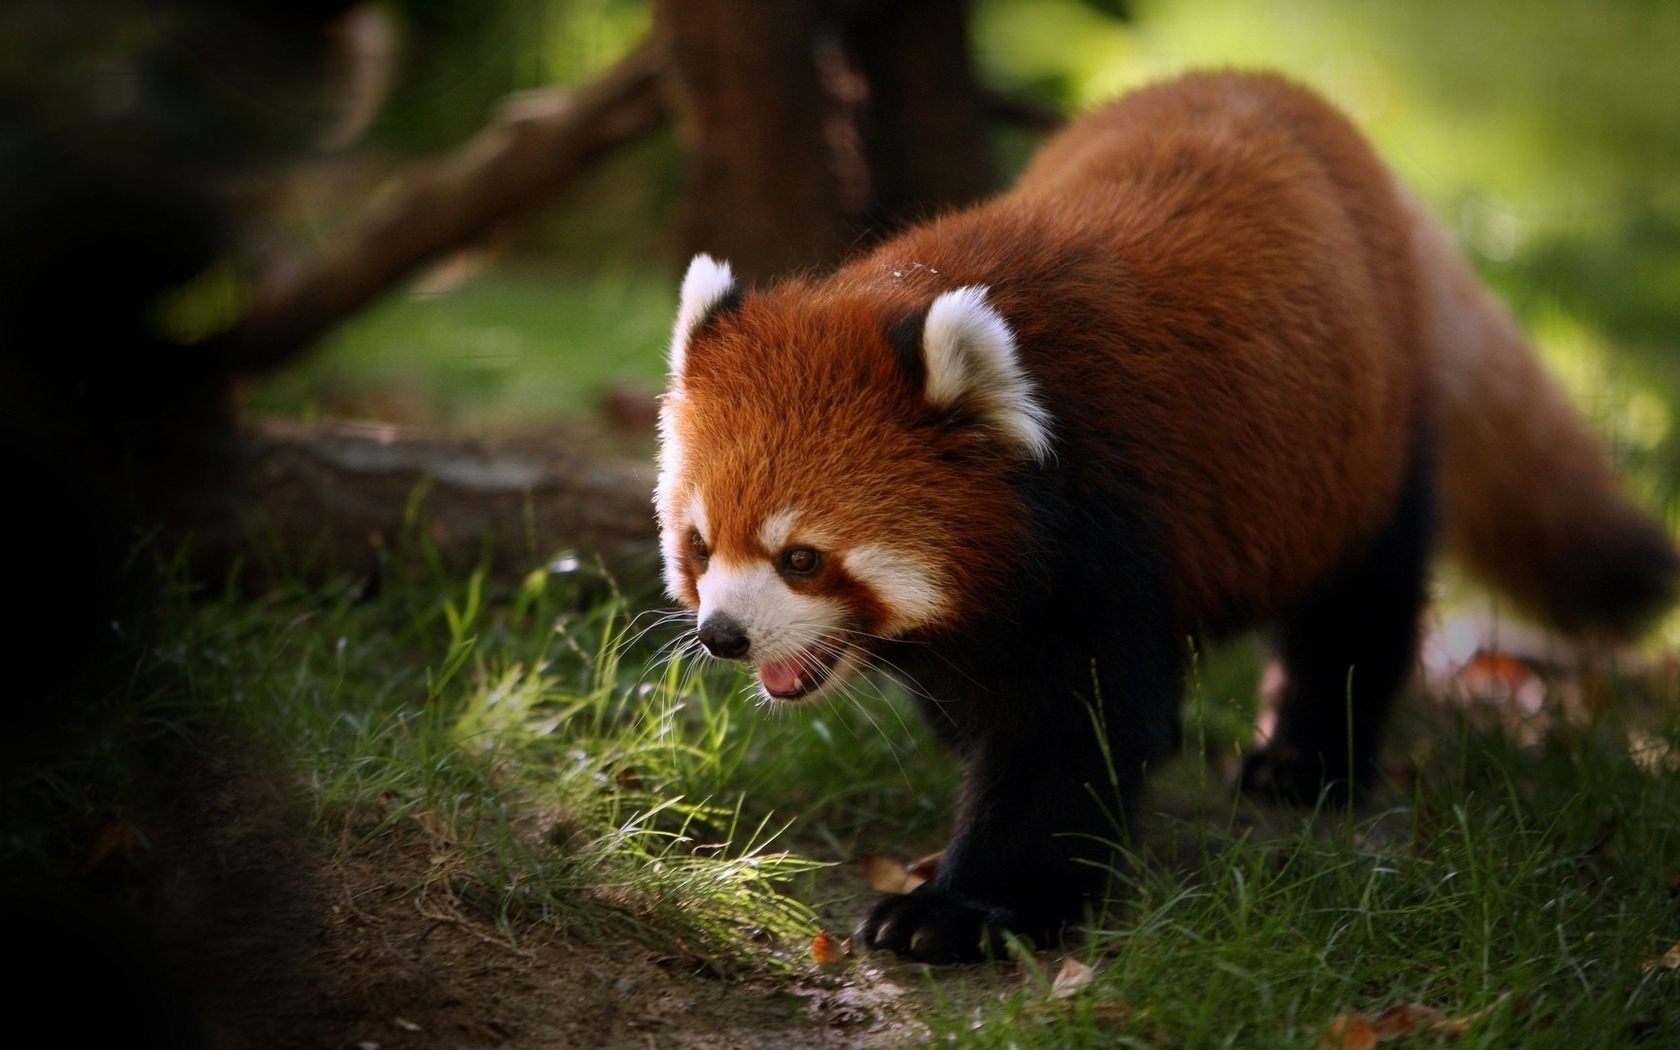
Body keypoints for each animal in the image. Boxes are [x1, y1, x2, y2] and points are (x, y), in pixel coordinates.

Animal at [648, 69, 1673, 960]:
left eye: (803, 557)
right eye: (700, 546)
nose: (723, 635)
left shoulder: (1111, 535)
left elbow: (1068, 738)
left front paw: (966, 910)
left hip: (1362, 448)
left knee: (1358, 606)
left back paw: (1307, 763)